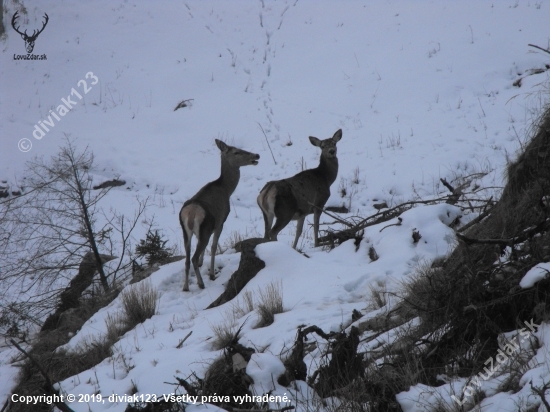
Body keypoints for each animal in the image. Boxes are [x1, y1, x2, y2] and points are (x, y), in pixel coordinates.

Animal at [179, 140, 260, 292]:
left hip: (186, 231)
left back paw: (186, 287)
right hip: (204, 228)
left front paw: (202, 263)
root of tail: (191, 213)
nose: (257, 155)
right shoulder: (220, 221)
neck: (226, 190)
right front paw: (211, 274)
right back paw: (201, 283)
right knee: (193, 257)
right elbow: (214, 247)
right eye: (236, 151)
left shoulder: (210, 227)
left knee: (187, 259)